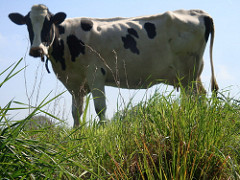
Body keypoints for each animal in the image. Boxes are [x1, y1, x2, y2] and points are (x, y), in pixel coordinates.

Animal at [9, 4, 218, 127]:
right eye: (28, 24)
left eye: (48, 23)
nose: (36, 49)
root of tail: (199, 12)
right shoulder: (76, 84)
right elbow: (76, 113)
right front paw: (77, 136)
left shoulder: (95, 74)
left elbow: (100, 109)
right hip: (192, 75)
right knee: (200, 97)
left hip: (187, 74)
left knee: (194, 99)